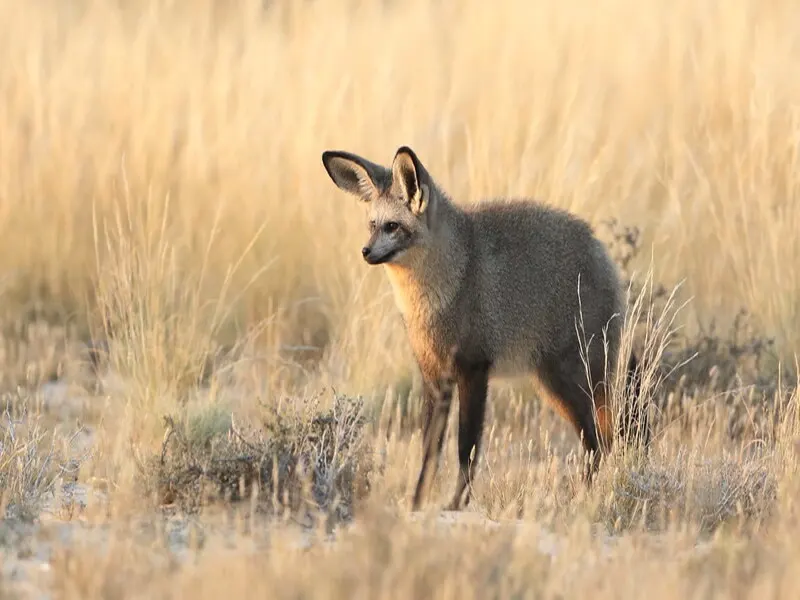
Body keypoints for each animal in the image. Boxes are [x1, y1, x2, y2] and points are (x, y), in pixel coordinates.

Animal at [320, 145, 648, 510]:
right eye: (372, 225)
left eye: (393, 226)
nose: (365, 252)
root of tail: (601, 251)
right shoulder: (434, 376)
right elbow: (429, 450)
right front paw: (417, 503)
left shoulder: (474, 369)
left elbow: (467, 448)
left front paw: (456, 504)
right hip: (557, 383)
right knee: (603, 438)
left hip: (564, 379)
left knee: (597, 441)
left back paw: (580, 500)